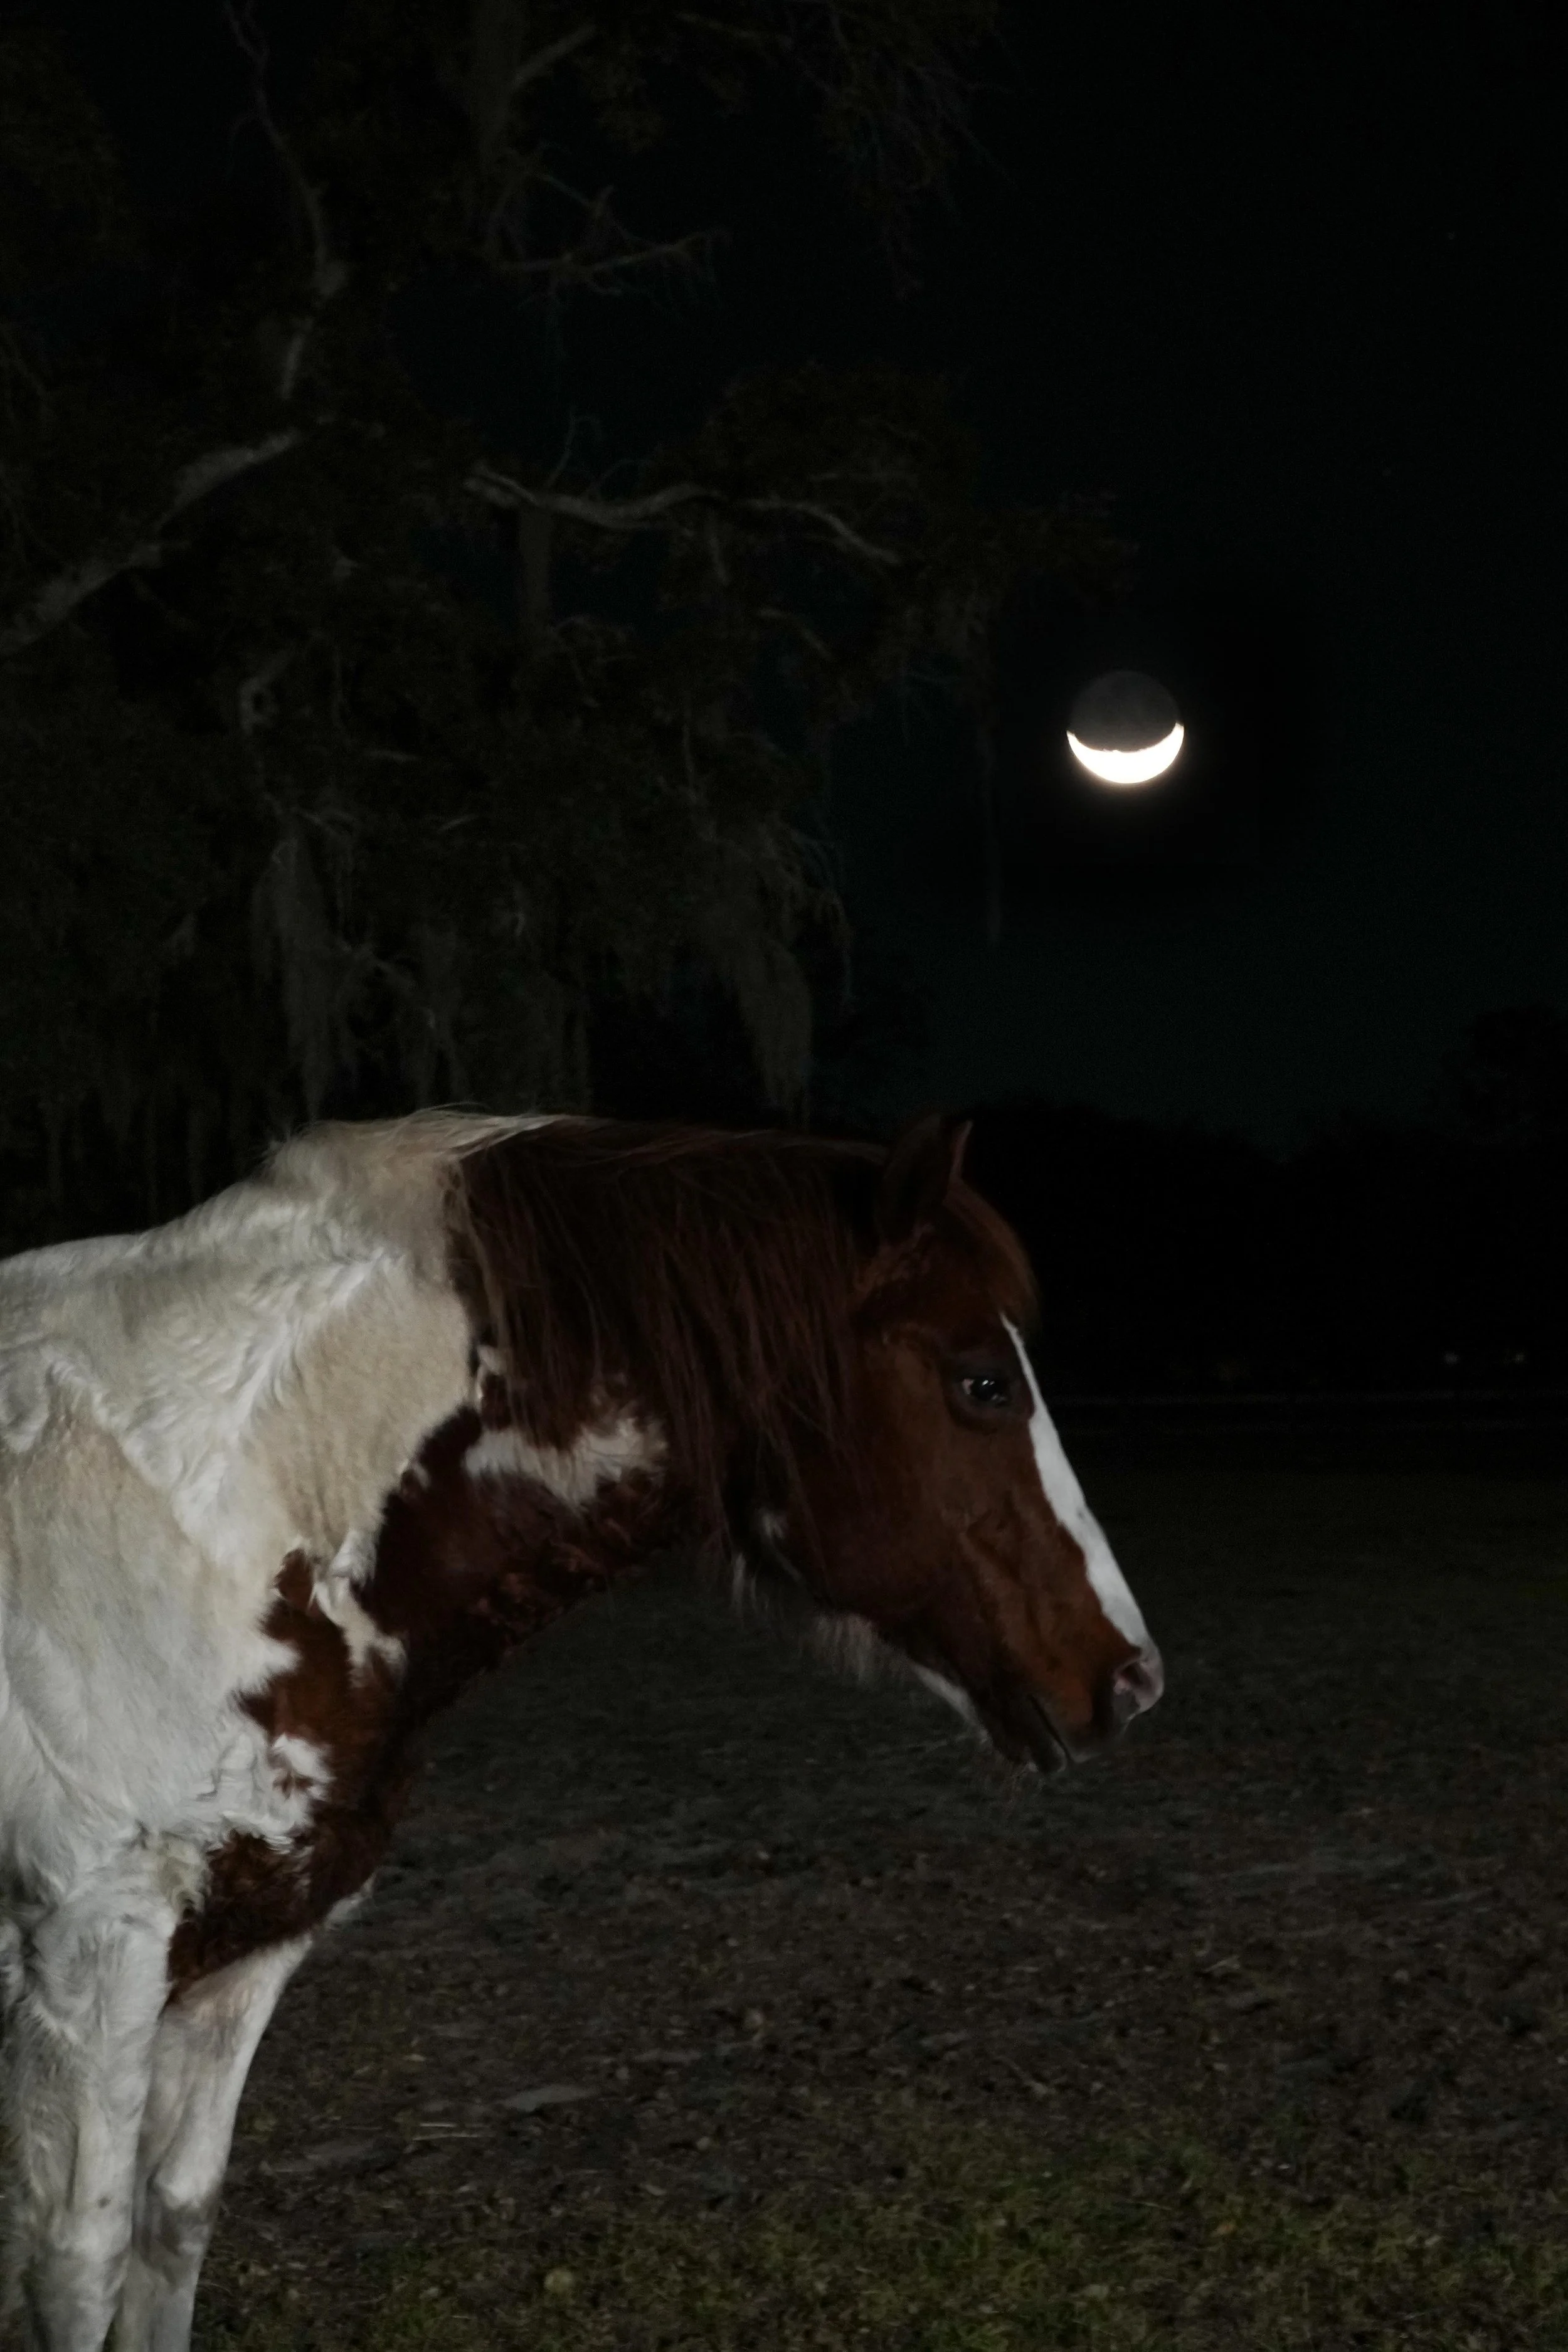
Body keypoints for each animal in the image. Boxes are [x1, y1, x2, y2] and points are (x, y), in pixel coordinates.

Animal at [0, 1108, 1161, 2352]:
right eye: (983, 1382)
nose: (1132, 1676)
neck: (221, 1505)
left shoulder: (247, 1941)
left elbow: (172, 2225)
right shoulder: (95, 1949)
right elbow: (79, 2266)